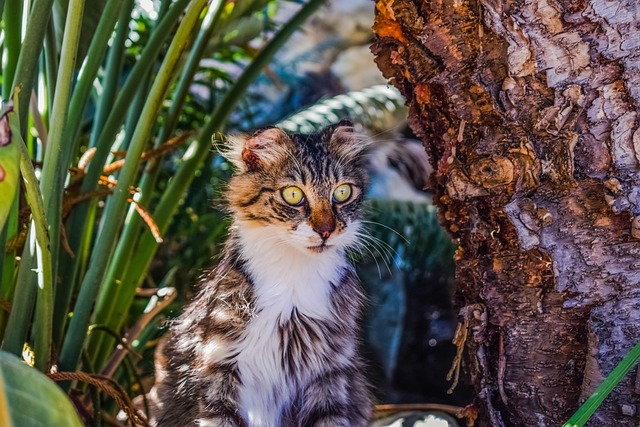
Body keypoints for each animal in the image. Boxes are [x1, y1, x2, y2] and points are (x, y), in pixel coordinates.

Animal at [154, 121, 372, 427]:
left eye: (342, 193)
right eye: (293, 195)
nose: (326, 231)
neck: (293, 281)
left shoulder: (330, 373)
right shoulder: (218, 367)